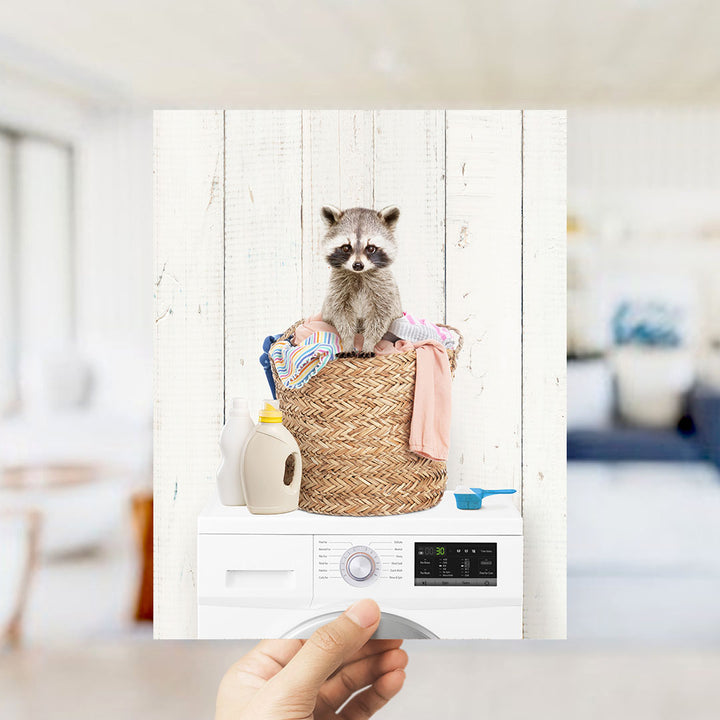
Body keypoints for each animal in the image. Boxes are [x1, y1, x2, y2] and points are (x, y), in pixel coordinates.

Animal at [321, 205, 403, 353]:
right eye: (346, 247)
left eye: (370, 248)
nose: (358, 265)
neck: (359, 274)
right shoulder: (337, 288)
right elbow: (341, 315)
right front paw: (348, 341)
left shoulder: (384, 288)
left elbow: (380, 315)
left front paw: (369, 343)